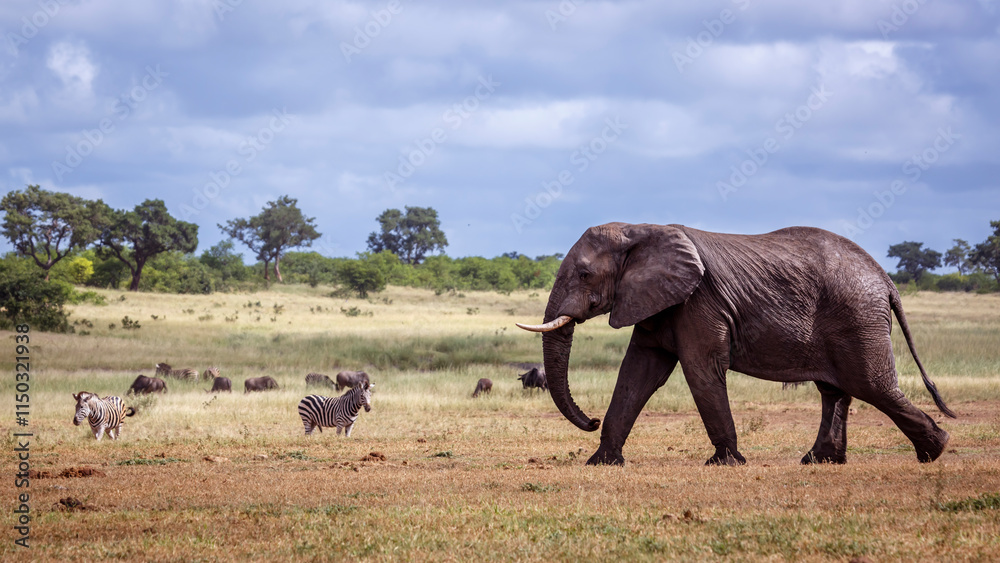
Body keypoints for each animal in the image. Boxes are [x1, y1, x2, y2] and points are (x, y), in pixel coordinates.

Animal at [517, 223, 955, 466]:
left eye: (584, 274)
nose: (589, 420)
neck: (640, 229)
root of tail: (886, 280)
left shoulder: (698, 301)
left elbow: (700, 370)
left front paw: (724, 463)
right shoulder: (657, 300)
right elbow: (639, 372)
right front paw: (602, 463)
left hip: (856, 316)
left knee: (871, 385)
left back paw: (936, 450)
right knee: (836, 390)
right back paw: (819, 460)